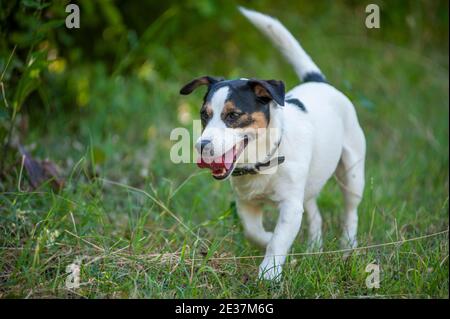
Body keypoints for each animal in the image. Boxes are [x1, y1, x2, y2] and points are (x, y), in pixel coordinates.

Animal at [179, 7, 366, 282]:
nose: (201, 146)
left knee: (351, 211)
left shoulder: (290, 205)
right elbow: (254, 232)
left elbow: (279, 240)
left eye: (233, 115)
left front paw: (269, 273)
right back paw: (313, 247)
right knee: (314, 213)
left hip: (352, 173)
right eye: (204, 114)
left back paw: (348, 246)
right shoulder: (246, 204)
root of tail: (319, 81)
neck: (262, 161)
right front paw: (269, 243)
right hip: (310, 183)